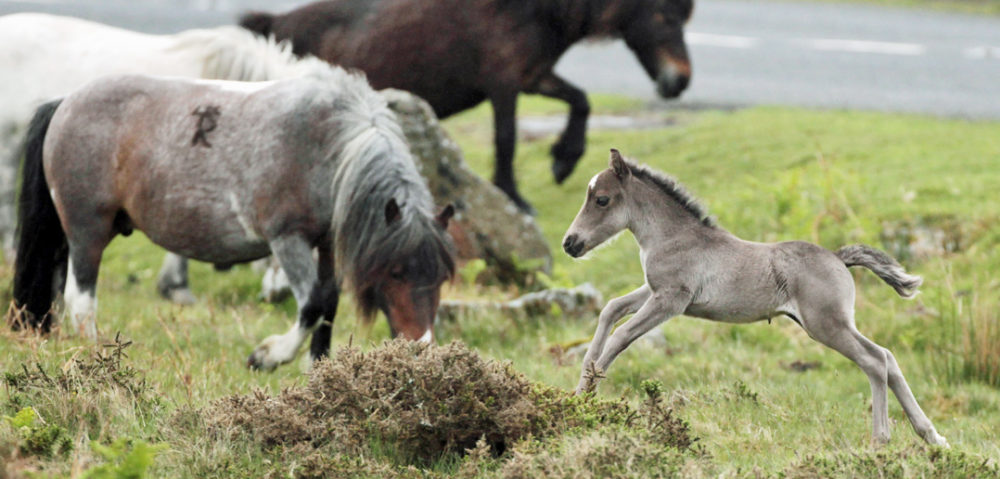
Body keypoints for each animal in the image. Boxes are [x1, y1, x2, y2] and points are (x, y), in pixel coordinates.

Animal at [11, 70, 455, 371]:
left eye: (440, 278)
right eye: (395, 272)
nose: (422, 346)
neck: (329, 147)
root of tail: (65, 103)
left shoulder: (328, 243)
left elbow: (328, 304)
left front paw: (320, 372)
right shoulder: (287, 239)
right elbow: (312, 304)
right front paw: (269, 355)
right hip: (88, 231)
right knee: (80, 300)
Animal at [239, 0, 695, 214]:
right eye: (665, 13)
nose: (681, 81)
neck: (530, 9)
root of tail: (274, 25)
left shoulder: (532, 75)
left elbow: (580, 100)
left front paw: (563, 160)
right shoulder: (505, 84)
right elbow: (506, 139)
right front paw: (514, 197)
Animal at [561, 149, 949, 447]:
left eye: (602, 199)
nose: (570, 243)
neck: (673, 236)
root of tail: (839, 257)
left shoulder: (671, 300)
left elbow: (622, 335)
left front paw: (587, 397)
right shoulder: (653, 290)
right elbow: (611, 310)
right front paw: (578, 392)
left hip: (826, 325)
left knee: (875, 361)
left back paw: (880, 440)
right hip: (835, 323)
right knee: (888, 357)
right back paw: (932, 437)